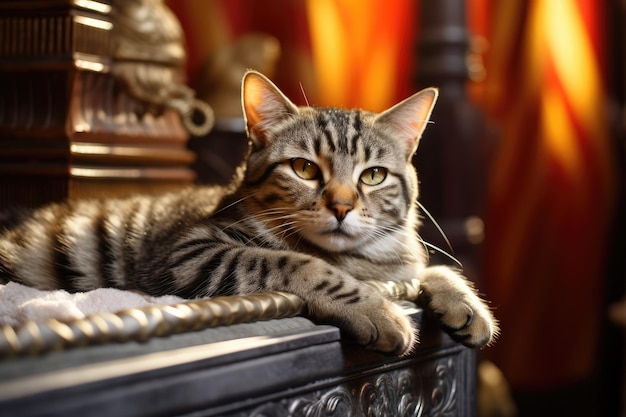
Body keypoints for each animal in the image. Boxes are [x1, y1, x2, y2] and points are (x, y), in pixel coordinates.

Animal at [1, 71, 498, 354]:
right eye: (304, 169)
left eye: (373, 176)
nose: (341, 205)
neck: (359, 261)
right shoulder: (190, 253)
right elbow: (297, 263)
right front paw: (377, 308)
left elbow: (431, 269)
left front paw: (464, 301)